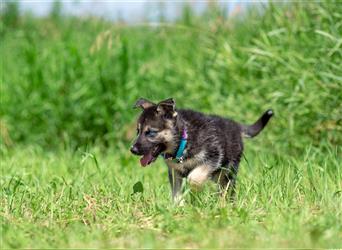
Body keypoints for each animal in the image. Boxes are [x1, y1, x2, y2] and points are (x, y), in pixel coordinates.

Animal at [130, 97, 274, 201]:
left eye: (151, 132)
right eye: (138, 131)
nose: (132, 150)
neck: (184, 139)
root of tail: (236, 126)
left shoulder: (212, 157)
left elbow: (193, 178)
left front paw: (195, 194)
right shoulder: (175, 172)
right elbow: (176, 192)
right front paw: (177, 207)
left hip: (227, 172)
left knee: (228, 190)